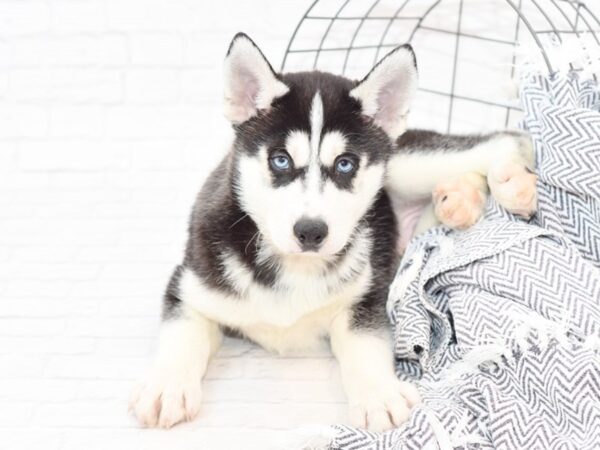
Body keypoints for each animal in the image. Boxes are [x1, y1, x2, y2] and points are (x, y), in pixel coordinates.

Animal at [130, 33, 536, 430]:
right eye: (280, 160)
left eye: (345, 164)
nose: (311, 232)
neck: (294, 266)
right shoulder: (191, 285)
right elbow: (182, 335)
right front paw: (167, 388)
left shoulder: (366, 296)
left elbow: (363, 344)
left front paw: (378, 394)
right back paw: (460, 201)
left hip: (407, 164)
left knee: (504, 141)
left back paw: (514, 184)